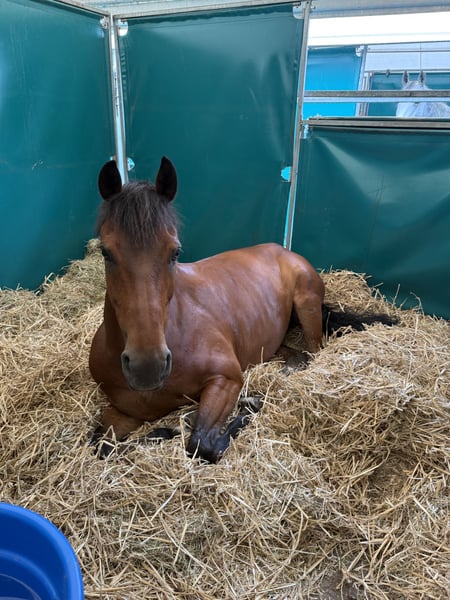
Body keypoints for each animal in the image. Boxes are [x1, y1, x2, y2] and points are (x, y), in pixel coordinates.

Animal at [89, 157, 398, 463]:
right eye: (105, 251)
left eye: (175, 251)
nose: (147, 366)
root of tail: (282, 251)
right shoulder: (124, 411)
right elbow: (102, 446)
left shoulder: (226, 379)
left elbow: (203, 443)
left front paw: (247, 404)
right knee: (293, 354)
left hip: (307, 305)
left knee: (312, 352)